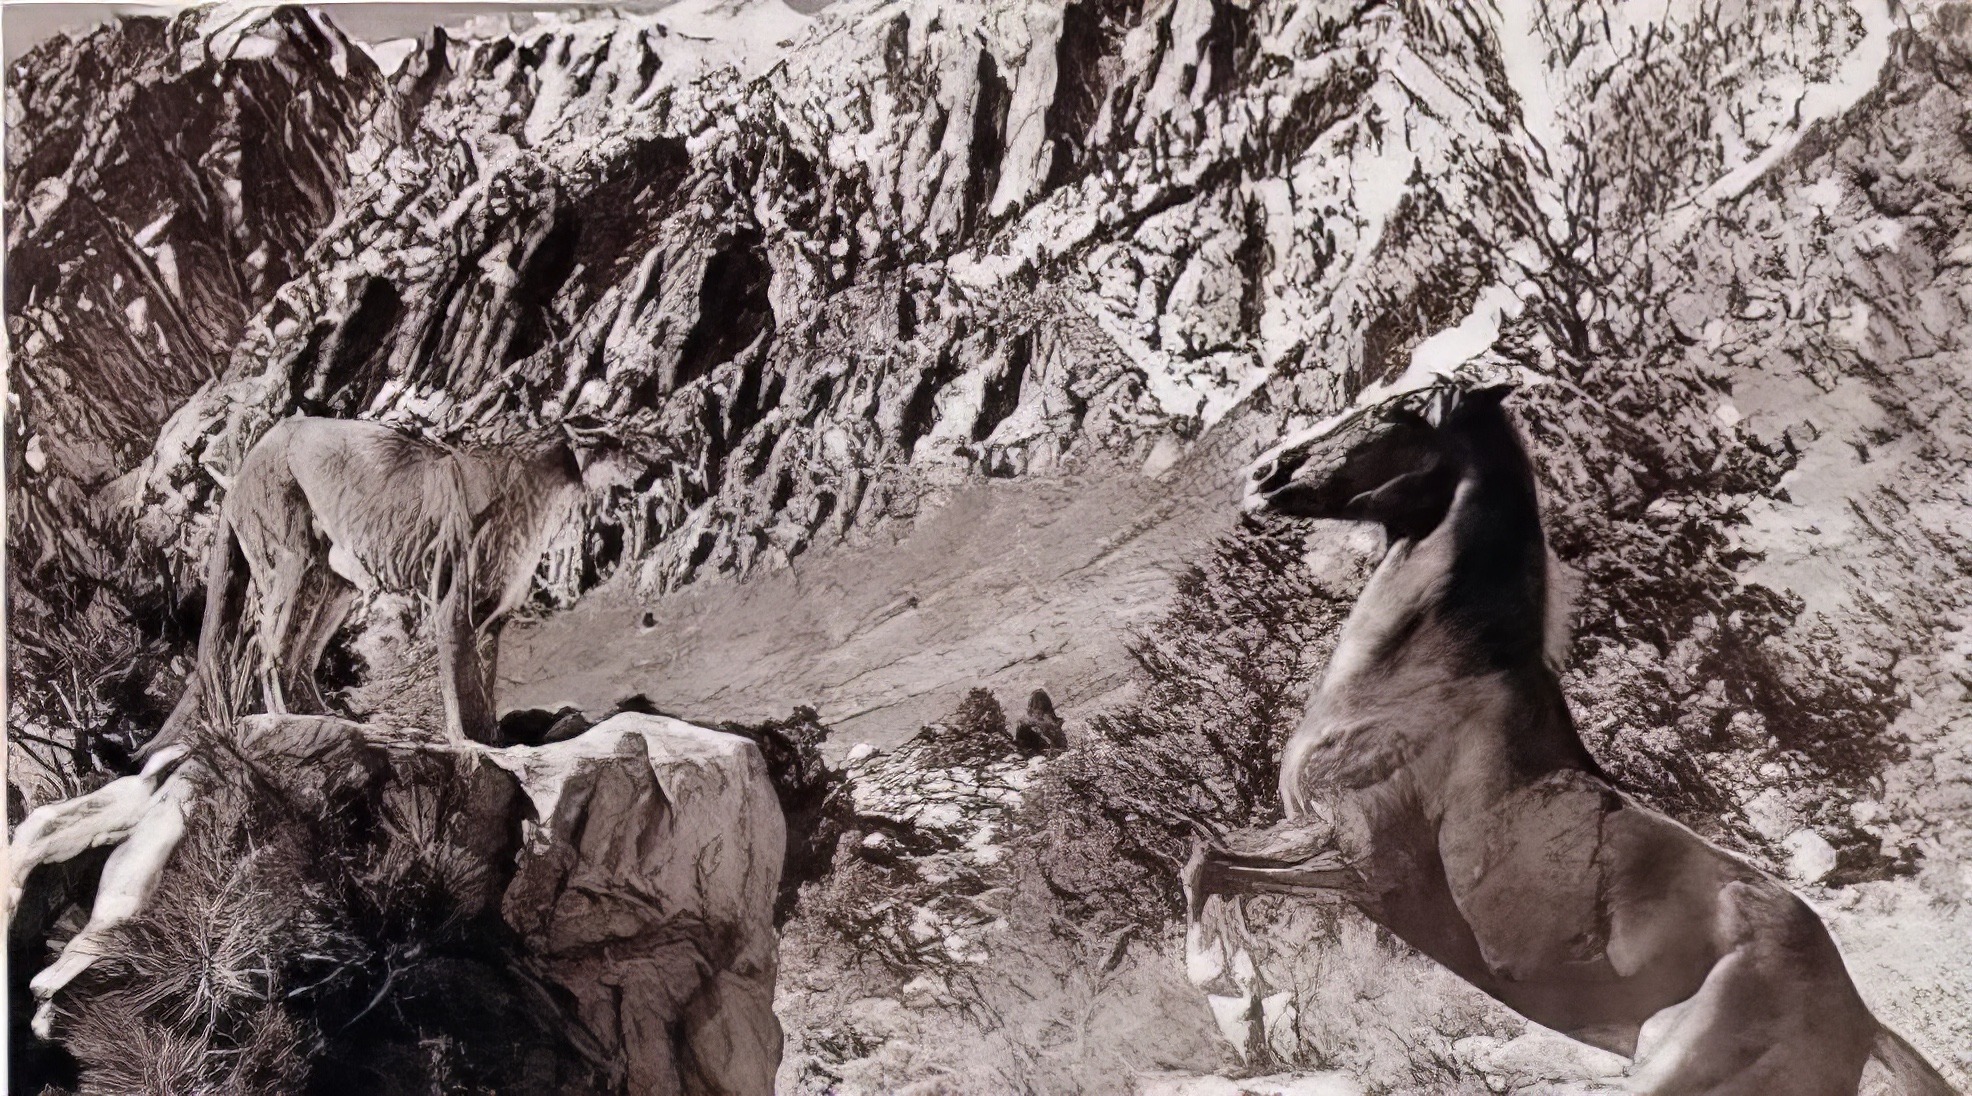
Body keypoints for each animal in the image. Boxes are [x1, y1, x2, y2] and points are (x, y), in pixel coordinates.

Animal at [1183, 383, 1956, 1096]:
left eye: (1394, 411)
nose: (1265, 472)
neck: (1427, 676)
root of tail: (1863, 1023)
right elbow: (1212, 863)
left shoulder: (1359, 857)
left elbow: (1208, 864)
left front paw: (1222, 987)